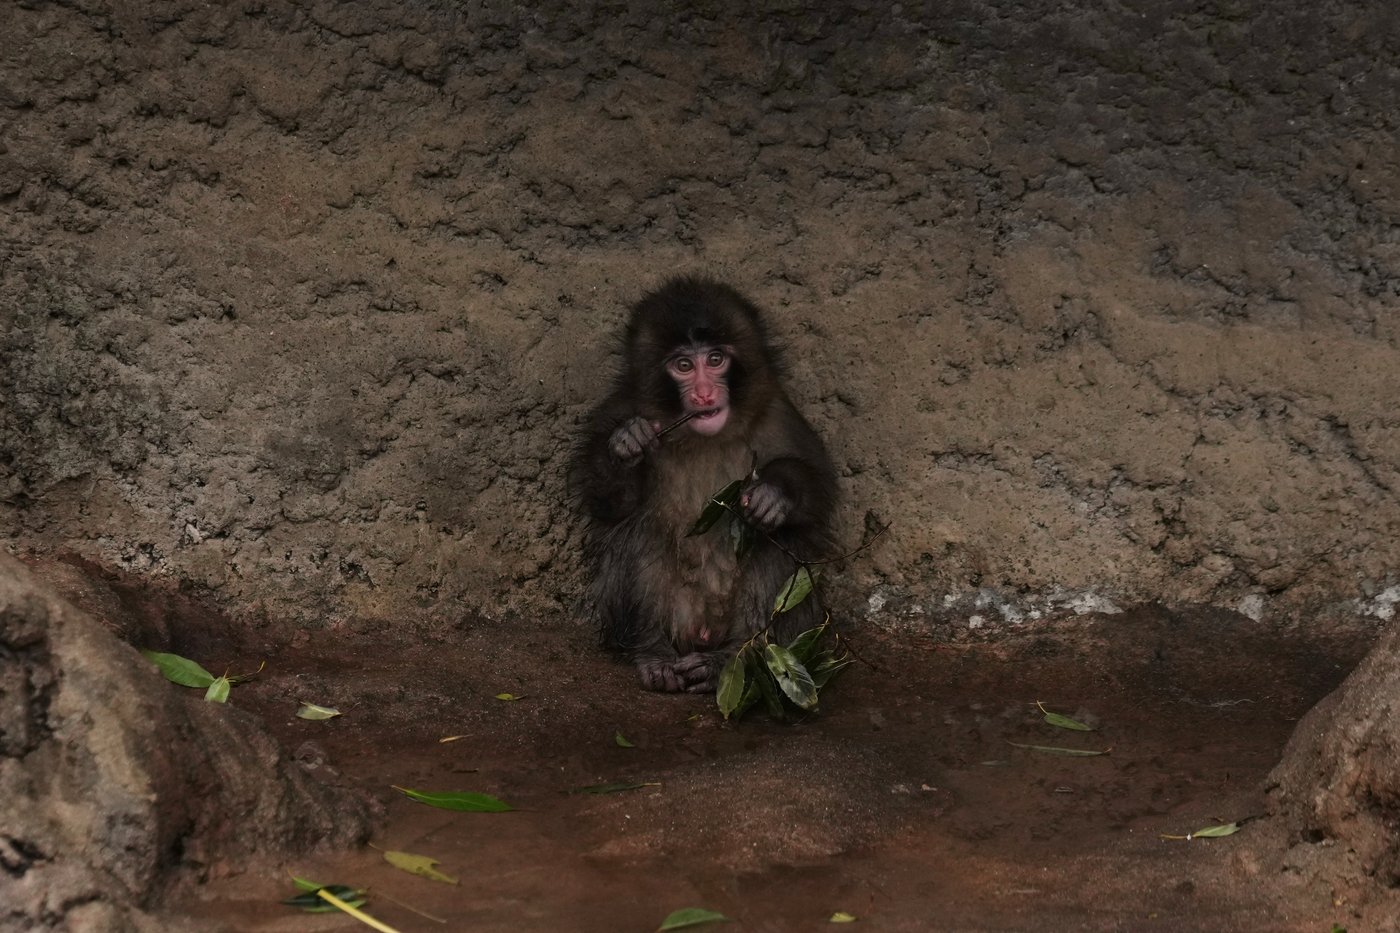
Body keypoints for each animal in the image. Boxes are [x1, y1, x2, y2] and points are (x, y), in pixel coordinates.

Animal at [571, 276, 839, 693]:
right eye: (683, 365)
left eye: (715, 360)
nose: (704, 395)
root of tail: (701, 634)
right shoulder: (618, 409)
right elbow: (610, 505)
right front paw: (627, 444)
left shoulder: (778, 414)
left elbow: (819, 490)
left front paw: (774, 495)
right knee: (639, 530)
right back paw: (653, 651)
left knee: (775, 537)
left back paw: (731, 657)